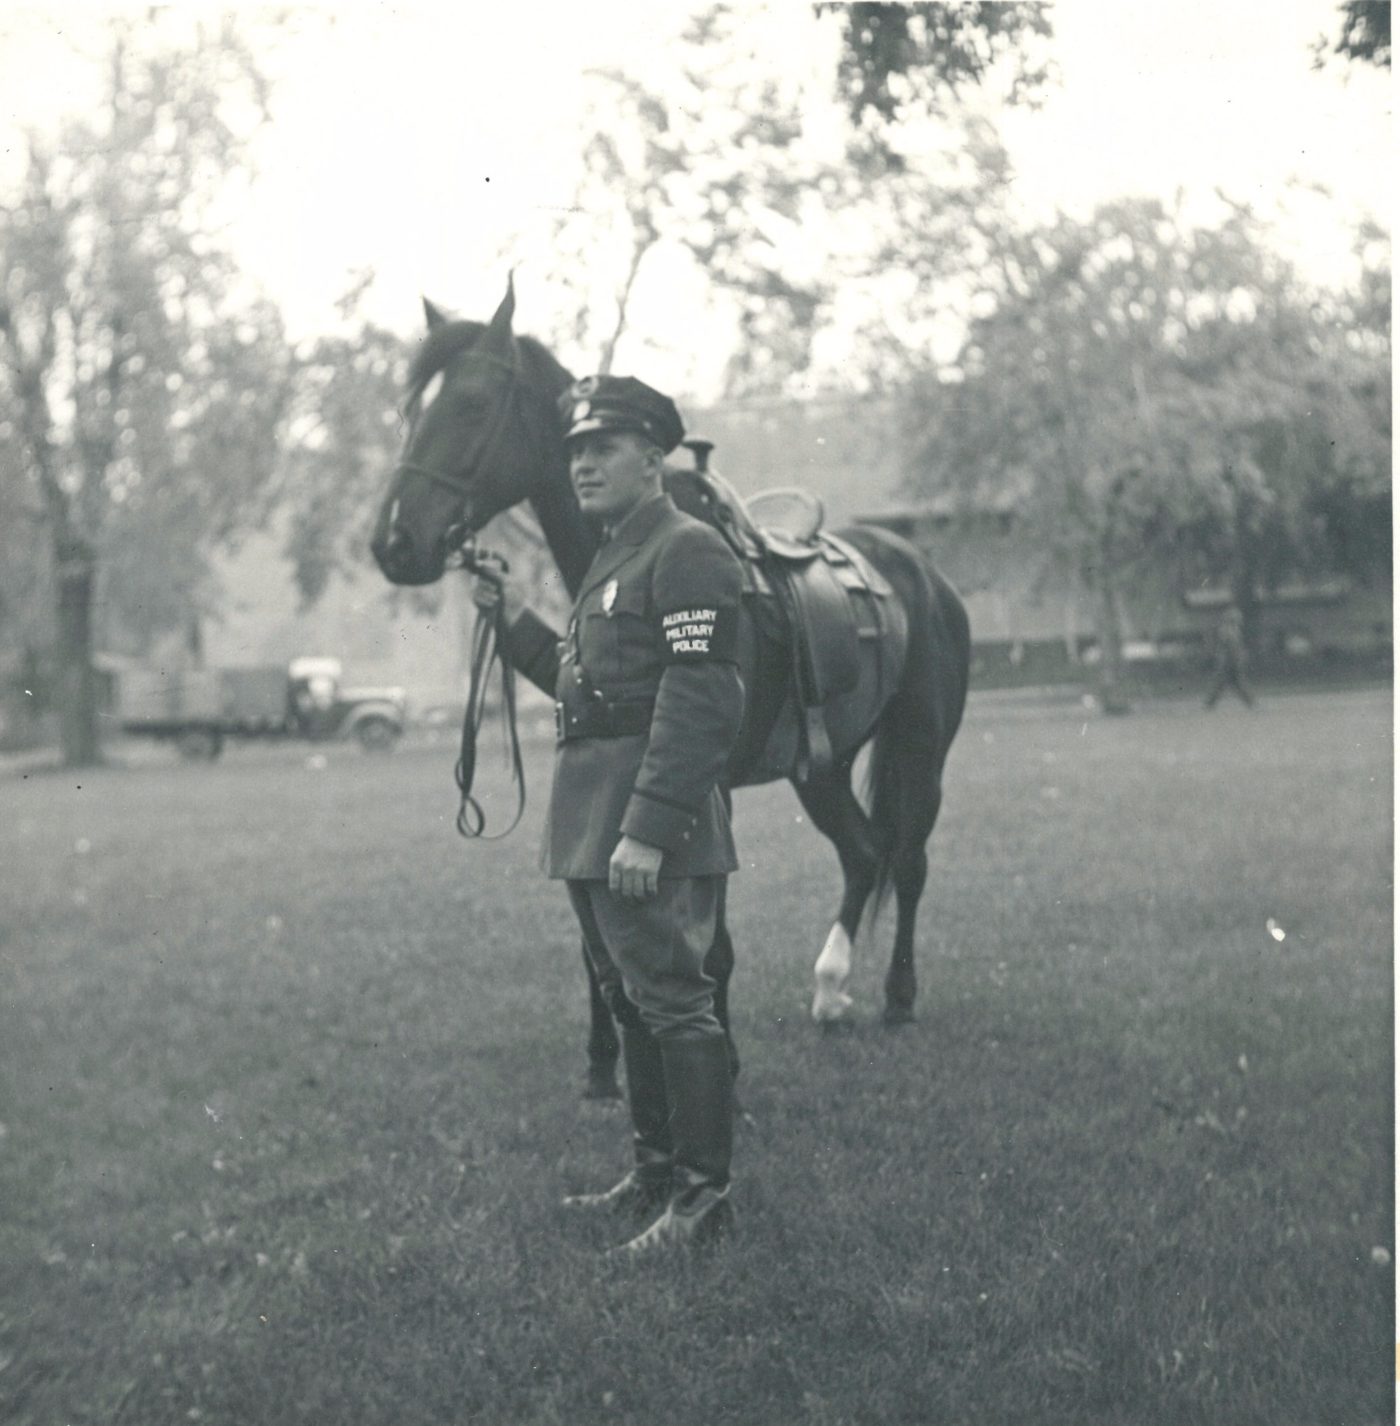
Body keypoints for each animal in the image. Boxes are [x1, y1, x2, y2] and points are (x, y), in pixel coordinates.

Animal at [370, 279, 970, 1095]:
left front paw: (720, 1066)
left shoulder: (697, 790)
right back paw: (830, 989)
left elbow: (706, 949)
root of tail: (920, 570)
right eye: (411, 412)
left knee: (906, 859)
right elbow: (602, 942)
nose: (394, 542)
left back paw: (897, 996)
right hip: (822, 766)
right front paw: (604, 1064)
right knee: (863, 851)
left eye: (470, 404)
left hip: (920, 746)